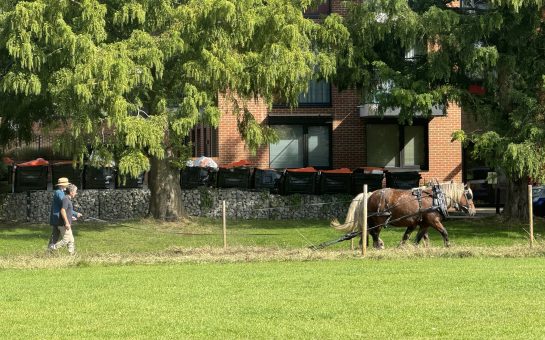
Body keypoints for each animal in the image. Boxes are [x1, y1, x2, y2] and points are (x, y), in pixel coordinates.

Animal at [330, 182, 474, 248]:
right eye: (469, 196)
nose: (473, 211)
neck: (435, 199)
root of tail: (370, 194)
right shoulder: (433, 221)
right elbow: (444, 232)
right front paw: (448, 246)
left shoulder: (422, 224)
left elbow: (413, 237)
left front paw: (407, 248)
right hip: (379, 220)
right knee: (374, 233)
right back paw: (378, 246)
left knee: (370, 233)